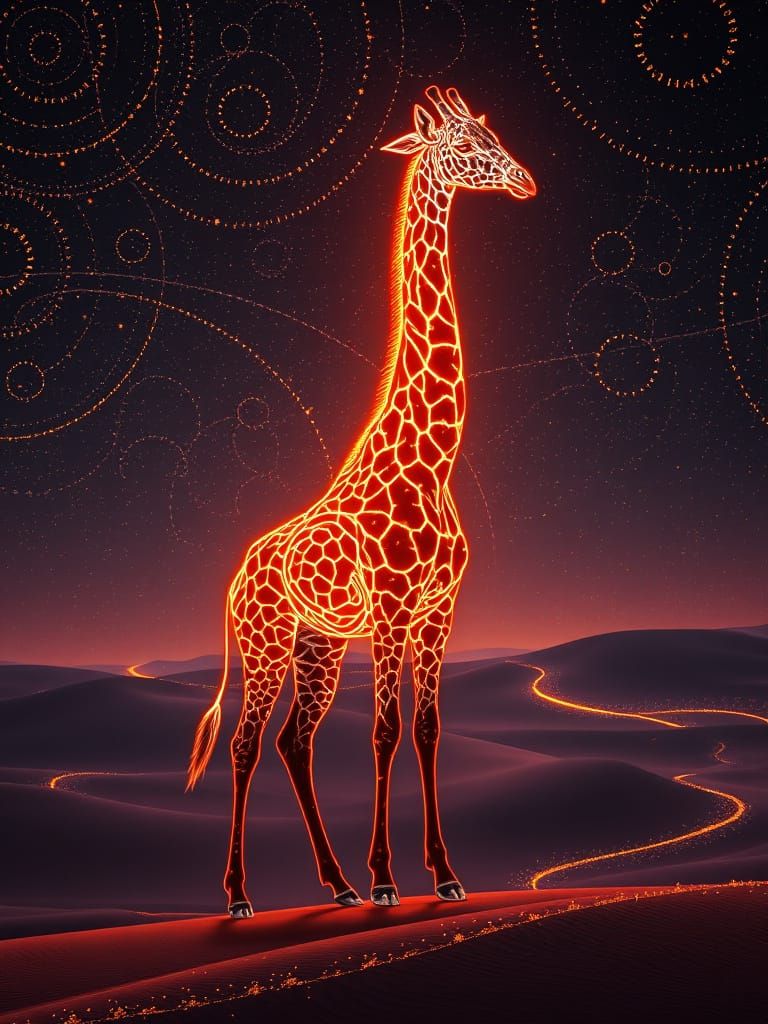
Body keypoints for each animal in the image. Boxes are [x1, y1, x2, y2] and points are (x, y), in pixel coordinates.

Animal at [186, 85, 536, 917]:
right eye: (465, 145)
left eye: (492, 130)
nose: (525, 181)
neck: (434, 460)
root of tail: (235, 577)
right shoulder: (393, 606)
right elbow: (383, 731)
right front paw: (387, 879)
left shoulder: (440, 608)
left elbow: (430, 728)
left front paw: (444, 875)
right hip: (268, 642)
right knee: (248, 743)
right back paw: (243, 896)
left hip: (318, 644)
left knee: (294, 740)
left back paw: (337, 885)